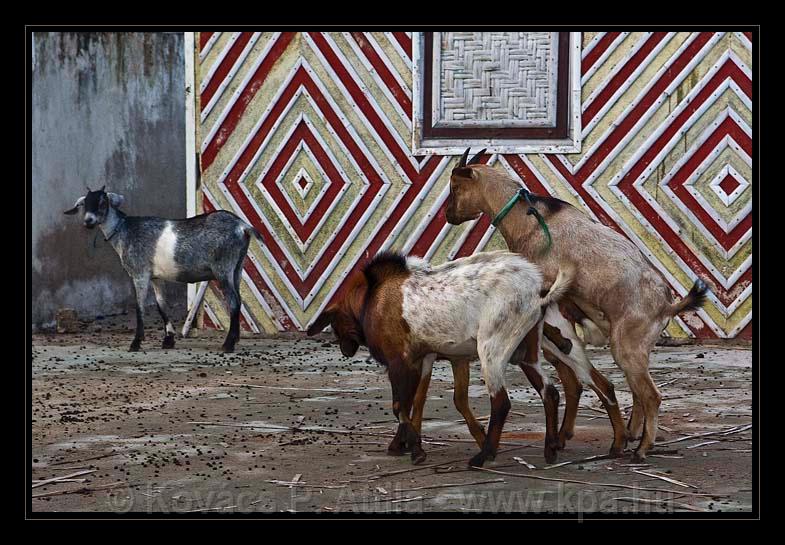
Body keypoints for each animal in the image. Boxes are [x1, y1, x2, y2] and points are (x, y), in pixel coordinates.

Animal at [64, 187, 260, 352]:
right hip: (237, 268)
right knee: (239, 300)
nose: (88, 221)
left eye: (102, 202)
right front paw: (168, 339)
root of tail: (242, 226)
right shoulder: (156, 277)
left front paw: (136, 342)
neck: (125, 231)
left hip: (223, 268)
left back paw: (228, 344)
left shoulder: (140, 274)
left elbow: (140, 306)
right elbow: (161, 304)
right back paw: (234, 340)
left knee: (233, 302)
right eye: (84, 204)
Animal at [304, 251, 568, 468]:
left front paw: (415, 450)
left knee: (501, 402)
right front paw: (402, 444)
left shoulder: (400, 362)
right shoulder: (424, 360)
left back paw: (483, 456)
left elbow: (400, 405)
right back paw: (550, 448)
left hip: (492, 349)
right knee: (550, 392)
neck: (372, 297)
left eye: (335, 324)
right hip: (526, 352)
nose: (345, 349)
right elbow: (415, 402)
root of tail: (538, 291)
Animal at [444, 148, 708, 460]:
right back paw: (631, 434)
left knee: (651, 395)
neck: (529, 217)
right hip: (634, 349)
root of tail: (667, 305)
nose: (449, 215)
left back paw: (641, 447)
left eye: (455, 186)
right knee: (637, 391)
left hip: (627, 346)